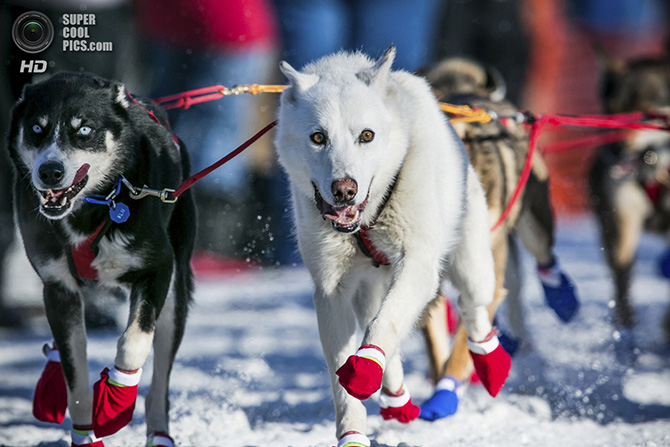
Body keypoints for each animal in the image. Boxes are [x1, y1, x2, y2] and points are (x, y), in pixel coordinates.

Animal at [7, 72, 197, 446]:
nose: (49, 171)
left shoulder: (157, 270)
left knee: (160, 381)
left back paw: (159, 432)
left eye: (83, 129)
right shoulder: (58, 287)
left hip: (175, 296)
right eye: (36, 129)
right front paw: (85, 435)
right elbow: (76, 374)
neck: (91, 210)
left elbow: (134, 342)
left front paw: (115, 399)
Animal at [276, 47, 512, 446]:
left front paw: (367, 365)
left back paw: (490, 361)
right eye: (318, 137)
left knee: (473, 306)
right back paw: (396, 397)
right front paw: (353, 433)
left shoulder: (417, 264)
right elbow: (344, 378)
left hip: (470, 262)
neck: (366, 221)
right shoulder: (332, 291)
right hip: (370, 286)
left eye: (366, 135)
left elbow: (383, 325)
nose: (344, 189)